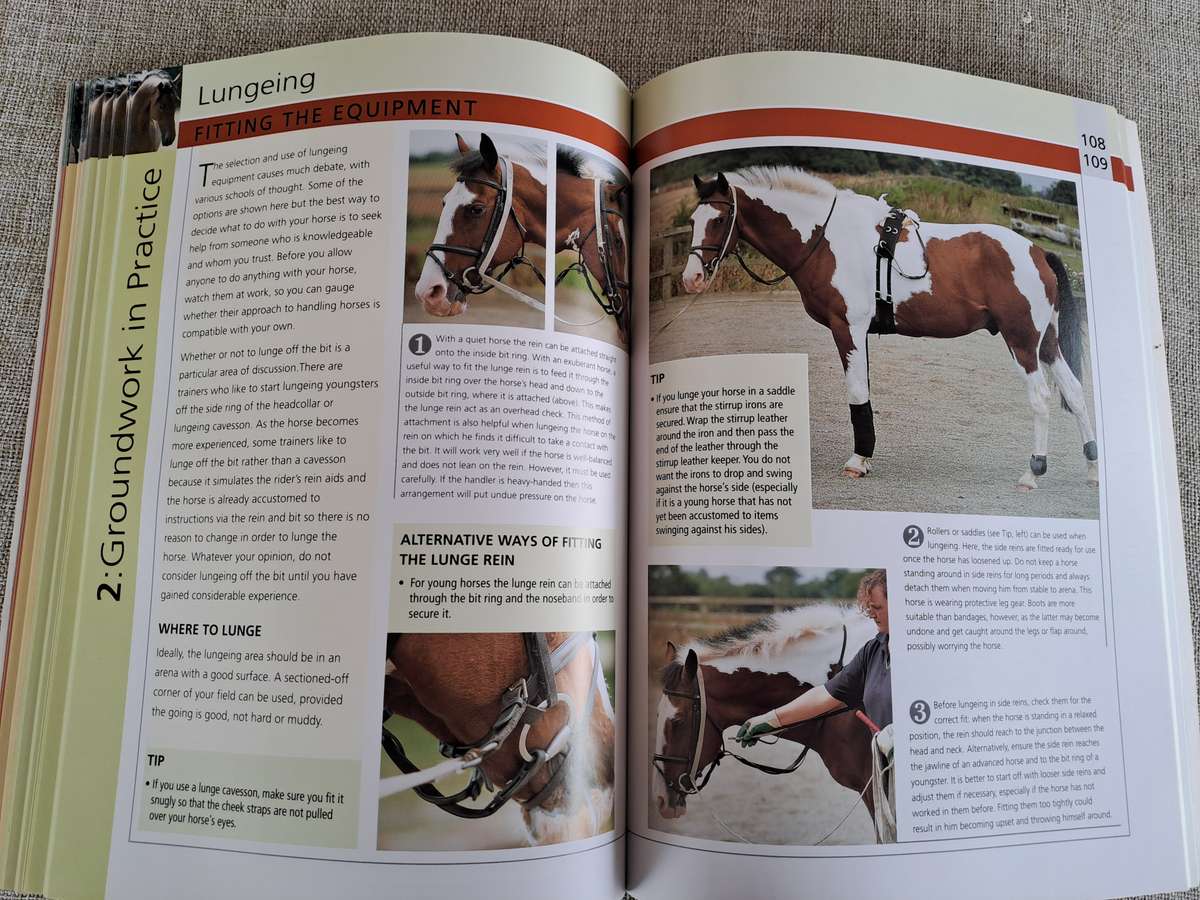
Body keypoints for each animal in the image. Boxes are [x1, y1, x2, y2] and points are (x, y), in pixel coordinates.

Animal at [682, 168, 1099, 492]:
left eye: (719, 219)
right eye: (692, 221)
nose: (692, 278)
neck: (826, 239)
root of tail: (1037, 252)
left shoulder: (846, 327)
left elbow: (856, 393)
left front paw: (857, 460)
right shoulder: (858, 333)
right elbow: (863, 392)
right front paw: (865, 457)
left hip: (1022, 342)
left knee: (1041, 397)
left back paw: (1033, 472)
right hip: (1047, 344)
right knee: (1076, 393)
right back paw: (1092, 467)